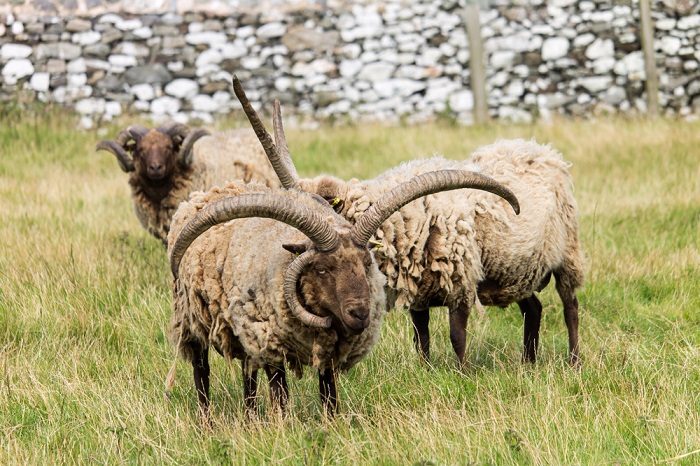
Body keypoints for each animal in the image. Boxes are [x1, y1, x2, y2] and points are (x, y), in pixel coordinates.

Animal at [166, 163, 519, 420]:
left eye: (366, 262)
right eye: (322, 269)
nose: (360, 313)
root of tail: (215, 190)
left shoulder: (329, 350)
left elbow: (329, 395)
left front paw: (330, 425)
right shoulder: (270, 342)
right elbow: (279, 393)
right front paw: (282, 426)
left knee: (247, 374)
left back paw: (251, 417)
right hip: (193, 321)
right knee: (202, 373)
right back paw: (207, 422)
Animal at [231, 76, 582, 367]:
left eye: (321, 210)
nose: (289, 251)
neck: (405, 222)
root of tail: (540, 149)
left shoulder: (460, 279)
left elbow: (457, 335)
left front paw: (463, 373)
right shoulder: (418, 288)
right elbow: (421, 335)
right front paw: (426, 370)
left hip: (567, 254)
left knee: (570, 306)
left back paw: (574, 361)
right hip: (518, 268)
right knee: (533, 309)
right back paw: (528, 363)